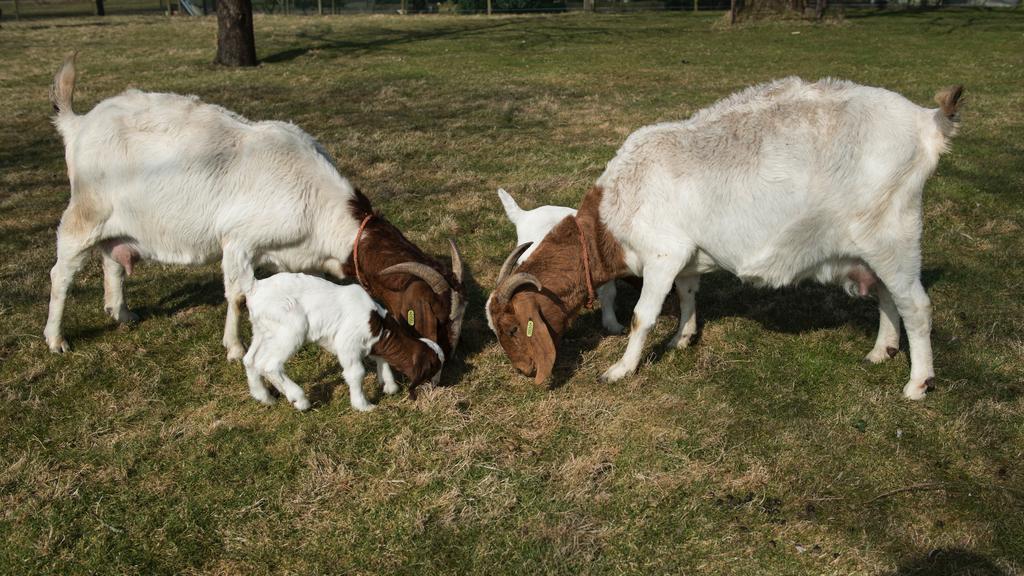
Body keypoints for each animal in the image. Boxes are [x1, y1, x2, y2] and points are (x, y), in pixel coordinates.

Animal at [245, 270, 446, 409]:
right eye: (434, 366)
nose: (437, 385)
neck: (380, 327)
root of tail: (255, 288)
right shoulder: (348, 343)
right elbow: (356, 372)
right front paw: (363, 405)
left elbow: (382, 360)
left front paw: (389, 386)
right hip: (291, 328)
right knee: (270, 365)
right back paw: (300, 400)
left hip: (263, 330)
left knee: (250, 360)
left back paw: (265, 397)